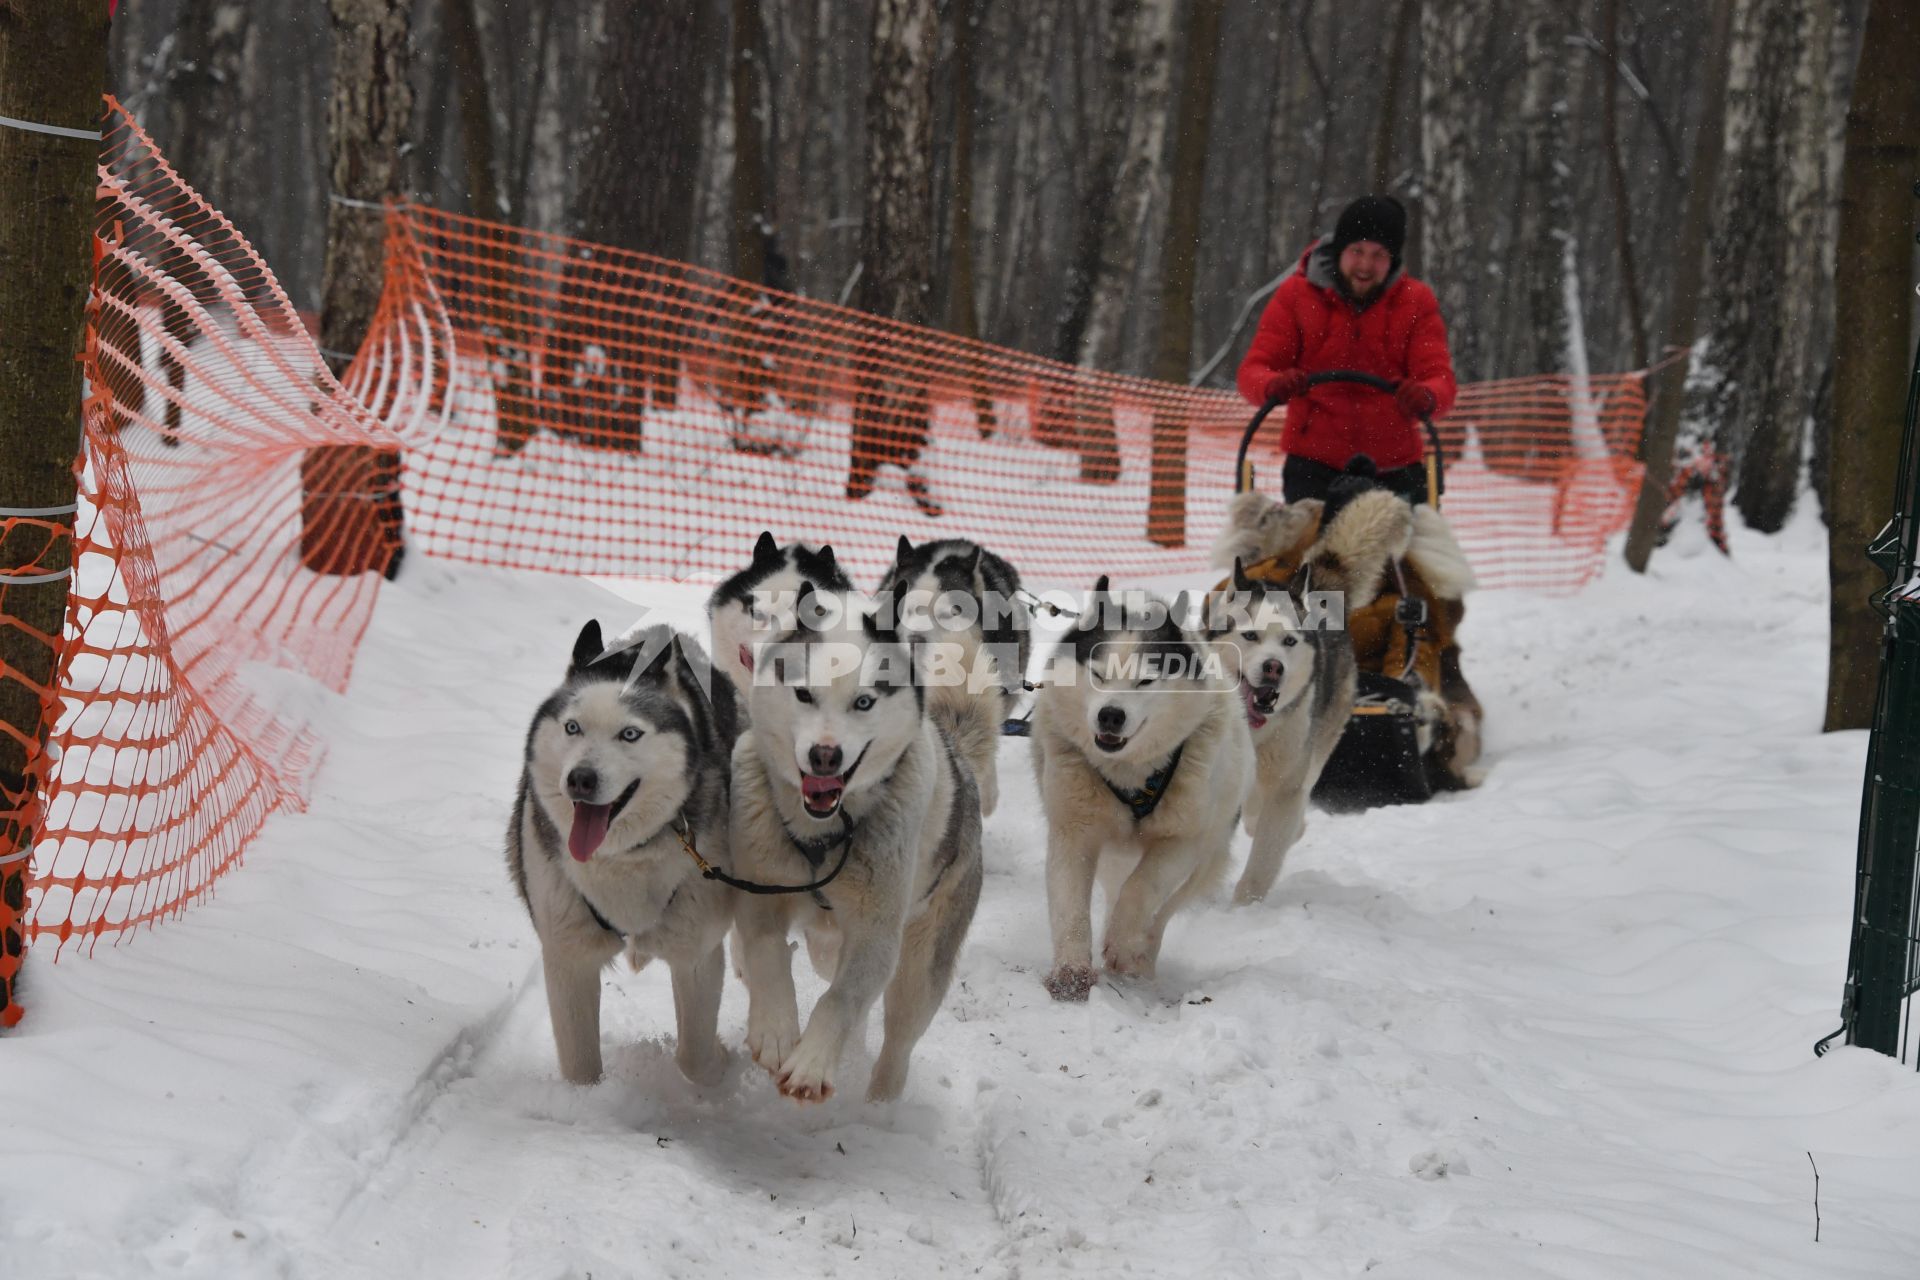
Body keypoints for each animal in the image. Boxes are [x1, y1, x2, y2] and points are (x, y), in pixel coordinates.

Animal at [506, 625, 737, 1090]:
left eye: (629, 734)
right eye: (572, 727)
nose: (580, 779)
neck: (623, 858)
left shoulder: (696, 951)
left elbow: (695, 1057)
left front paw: (722, 1065)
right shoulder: (568, 954)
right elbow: (579, 1068)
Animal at [725, 587, 983, 1105]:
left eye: (864, 702)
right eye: (805, 694)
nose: (825, 755)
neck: (819, 834)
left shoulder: (874, 933)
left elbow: (841, 999)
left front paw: (811, 1062)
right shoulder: (760, 893)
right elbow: (765, 952)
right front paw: (775, 1032)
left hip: (921, 958)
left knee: (897, 1032)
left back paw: (880, 1102)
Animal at [1029, 579, 1251, 997]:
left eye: (1146, 680)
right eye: (1098, 674)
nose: (1111, 716)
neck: (1130, 776)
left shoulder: (1181, 841)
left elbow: (1144, 888)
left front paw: (1121, 942)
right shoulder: (1074, 831)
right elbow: (1069, 900)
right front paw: (1071, 972)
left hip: (1203, 860)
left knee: (1160, 913)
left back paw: (1139, 957)